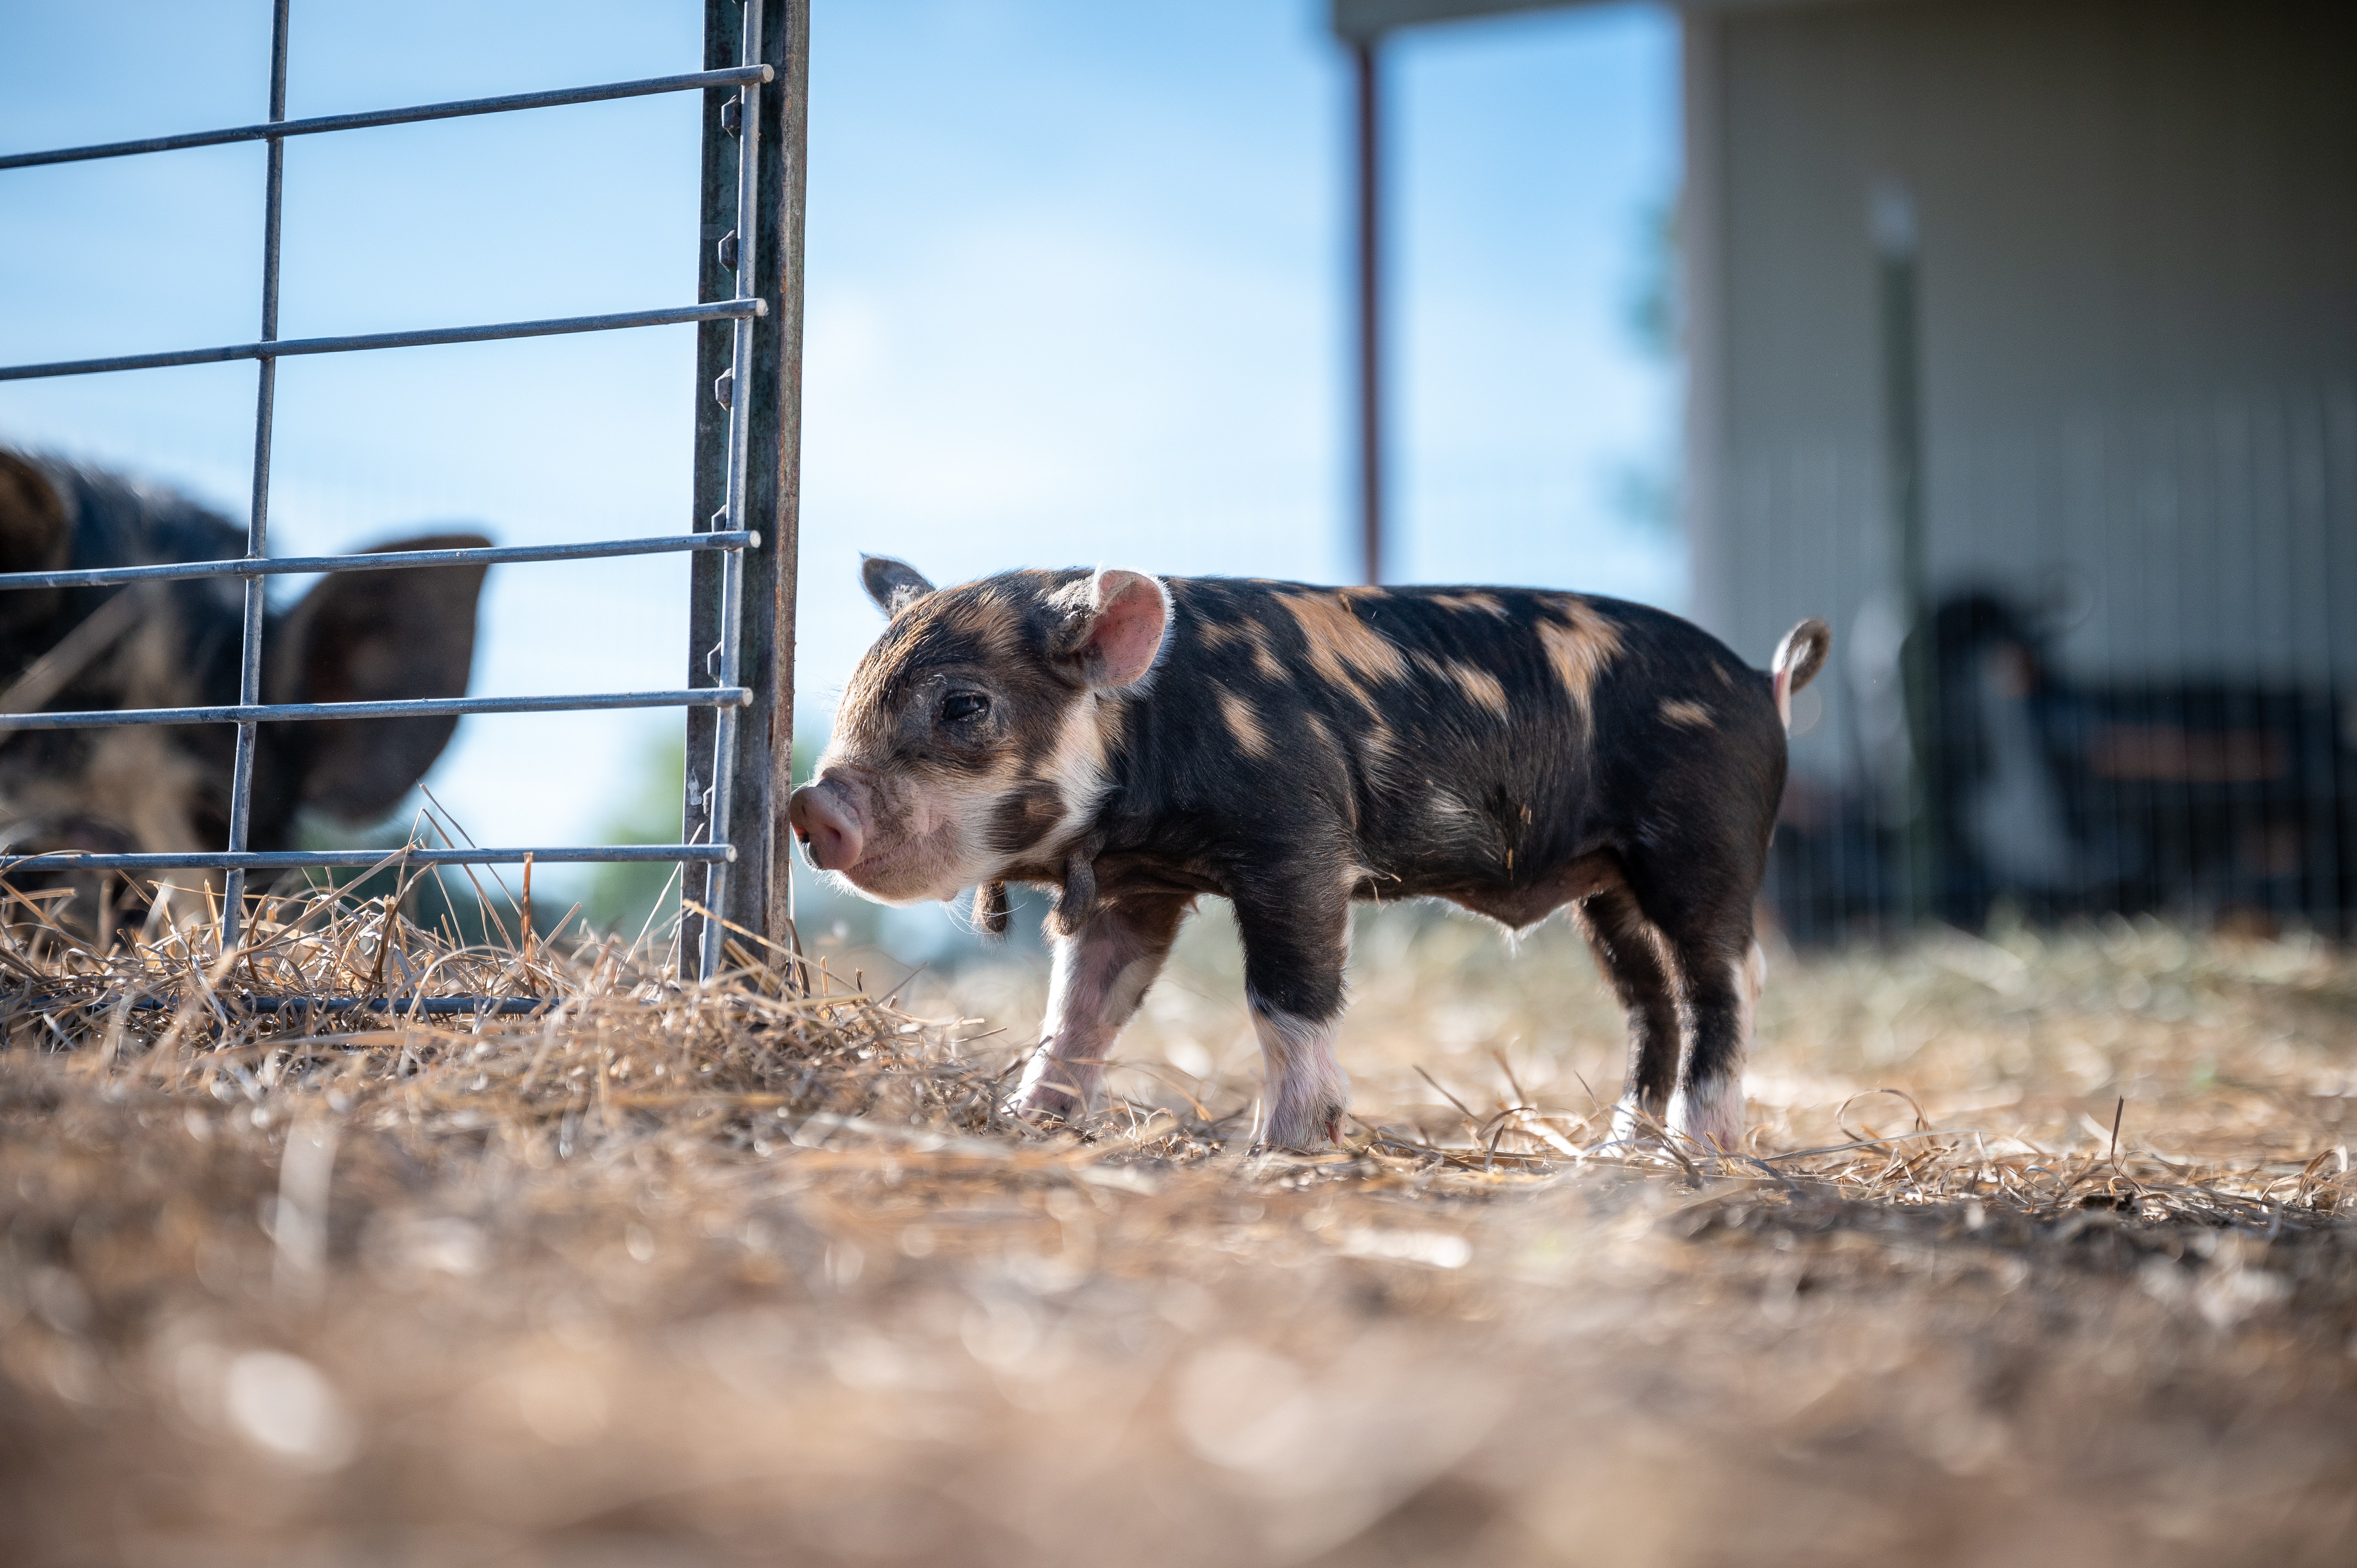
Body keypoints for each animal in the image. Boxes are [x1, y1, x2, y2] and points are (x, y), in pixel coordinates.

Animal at [787, 559, 1820, 1150]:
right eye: (855, 689)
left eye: (965, 704)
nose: (809, 802)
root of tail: (1760, 682)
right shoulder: (1134, 888)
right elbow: (1078, 1011)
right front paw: (1026, 1124)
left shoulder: (1298, 842)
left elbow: (1284, 994)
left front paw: (1283, 1144)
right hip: (1603, 888)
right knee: (1651, 1004)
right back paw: (1621, 1154)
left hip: (1701, 845)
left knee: (1725, 983)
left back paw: (1701, 1151)